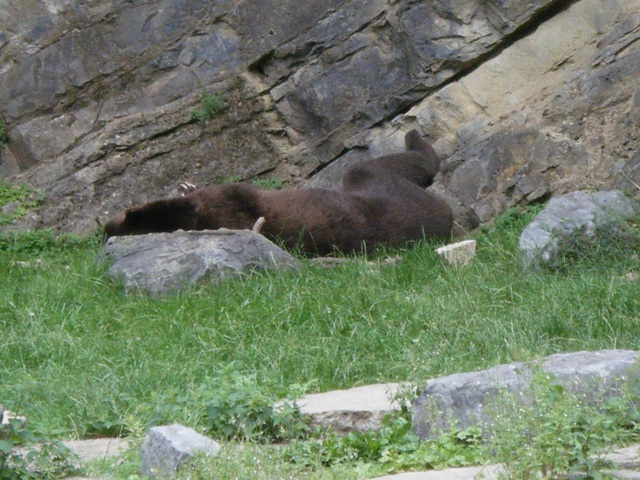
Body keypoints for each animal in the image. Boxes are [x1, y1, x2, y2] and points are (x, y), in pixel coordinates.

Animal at [104, 127, 450, 255]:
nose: (108, 223)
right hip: (380, 191)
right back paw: (414, 137)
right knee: (383, 167)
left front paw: (186, 183)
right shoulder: (233, 200)